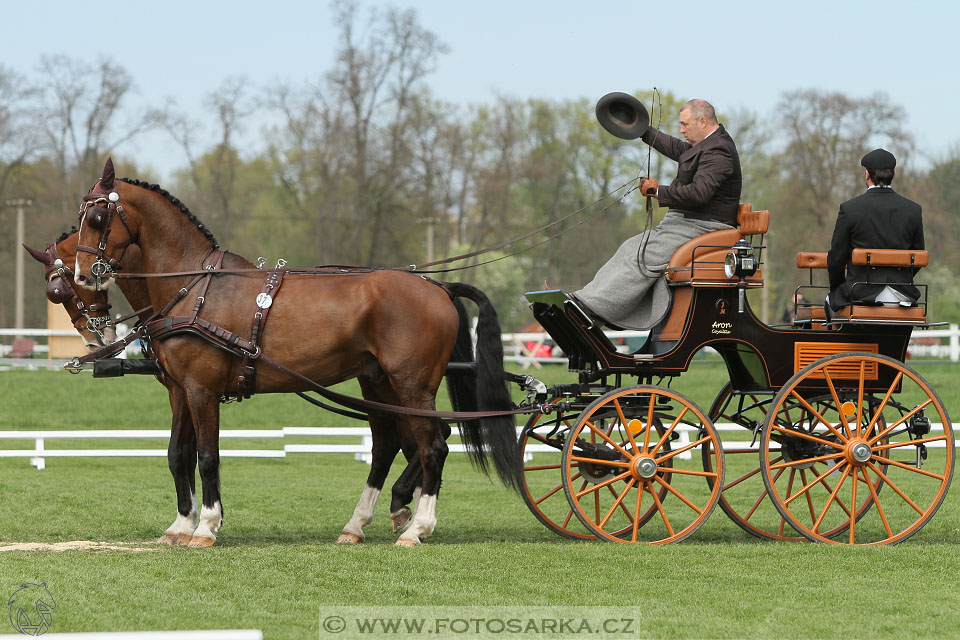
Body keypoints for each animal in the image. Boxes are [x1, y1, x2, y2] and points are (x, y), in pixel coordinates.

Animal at [66, 158, 520, 548]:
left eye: (98, 217)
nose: (85, 276)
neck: (195, 286)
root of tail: (436, 285)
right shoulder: (179, 390)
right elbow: (178, 454)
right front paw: (180, 525)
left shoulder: (201, 390)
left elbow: (208, 456)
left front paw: (207, 526)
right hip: (379, 383)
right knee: (389, 444)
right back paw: (358, 524)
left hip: (413, 384)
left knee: (434, 447)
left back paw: (417, 528)